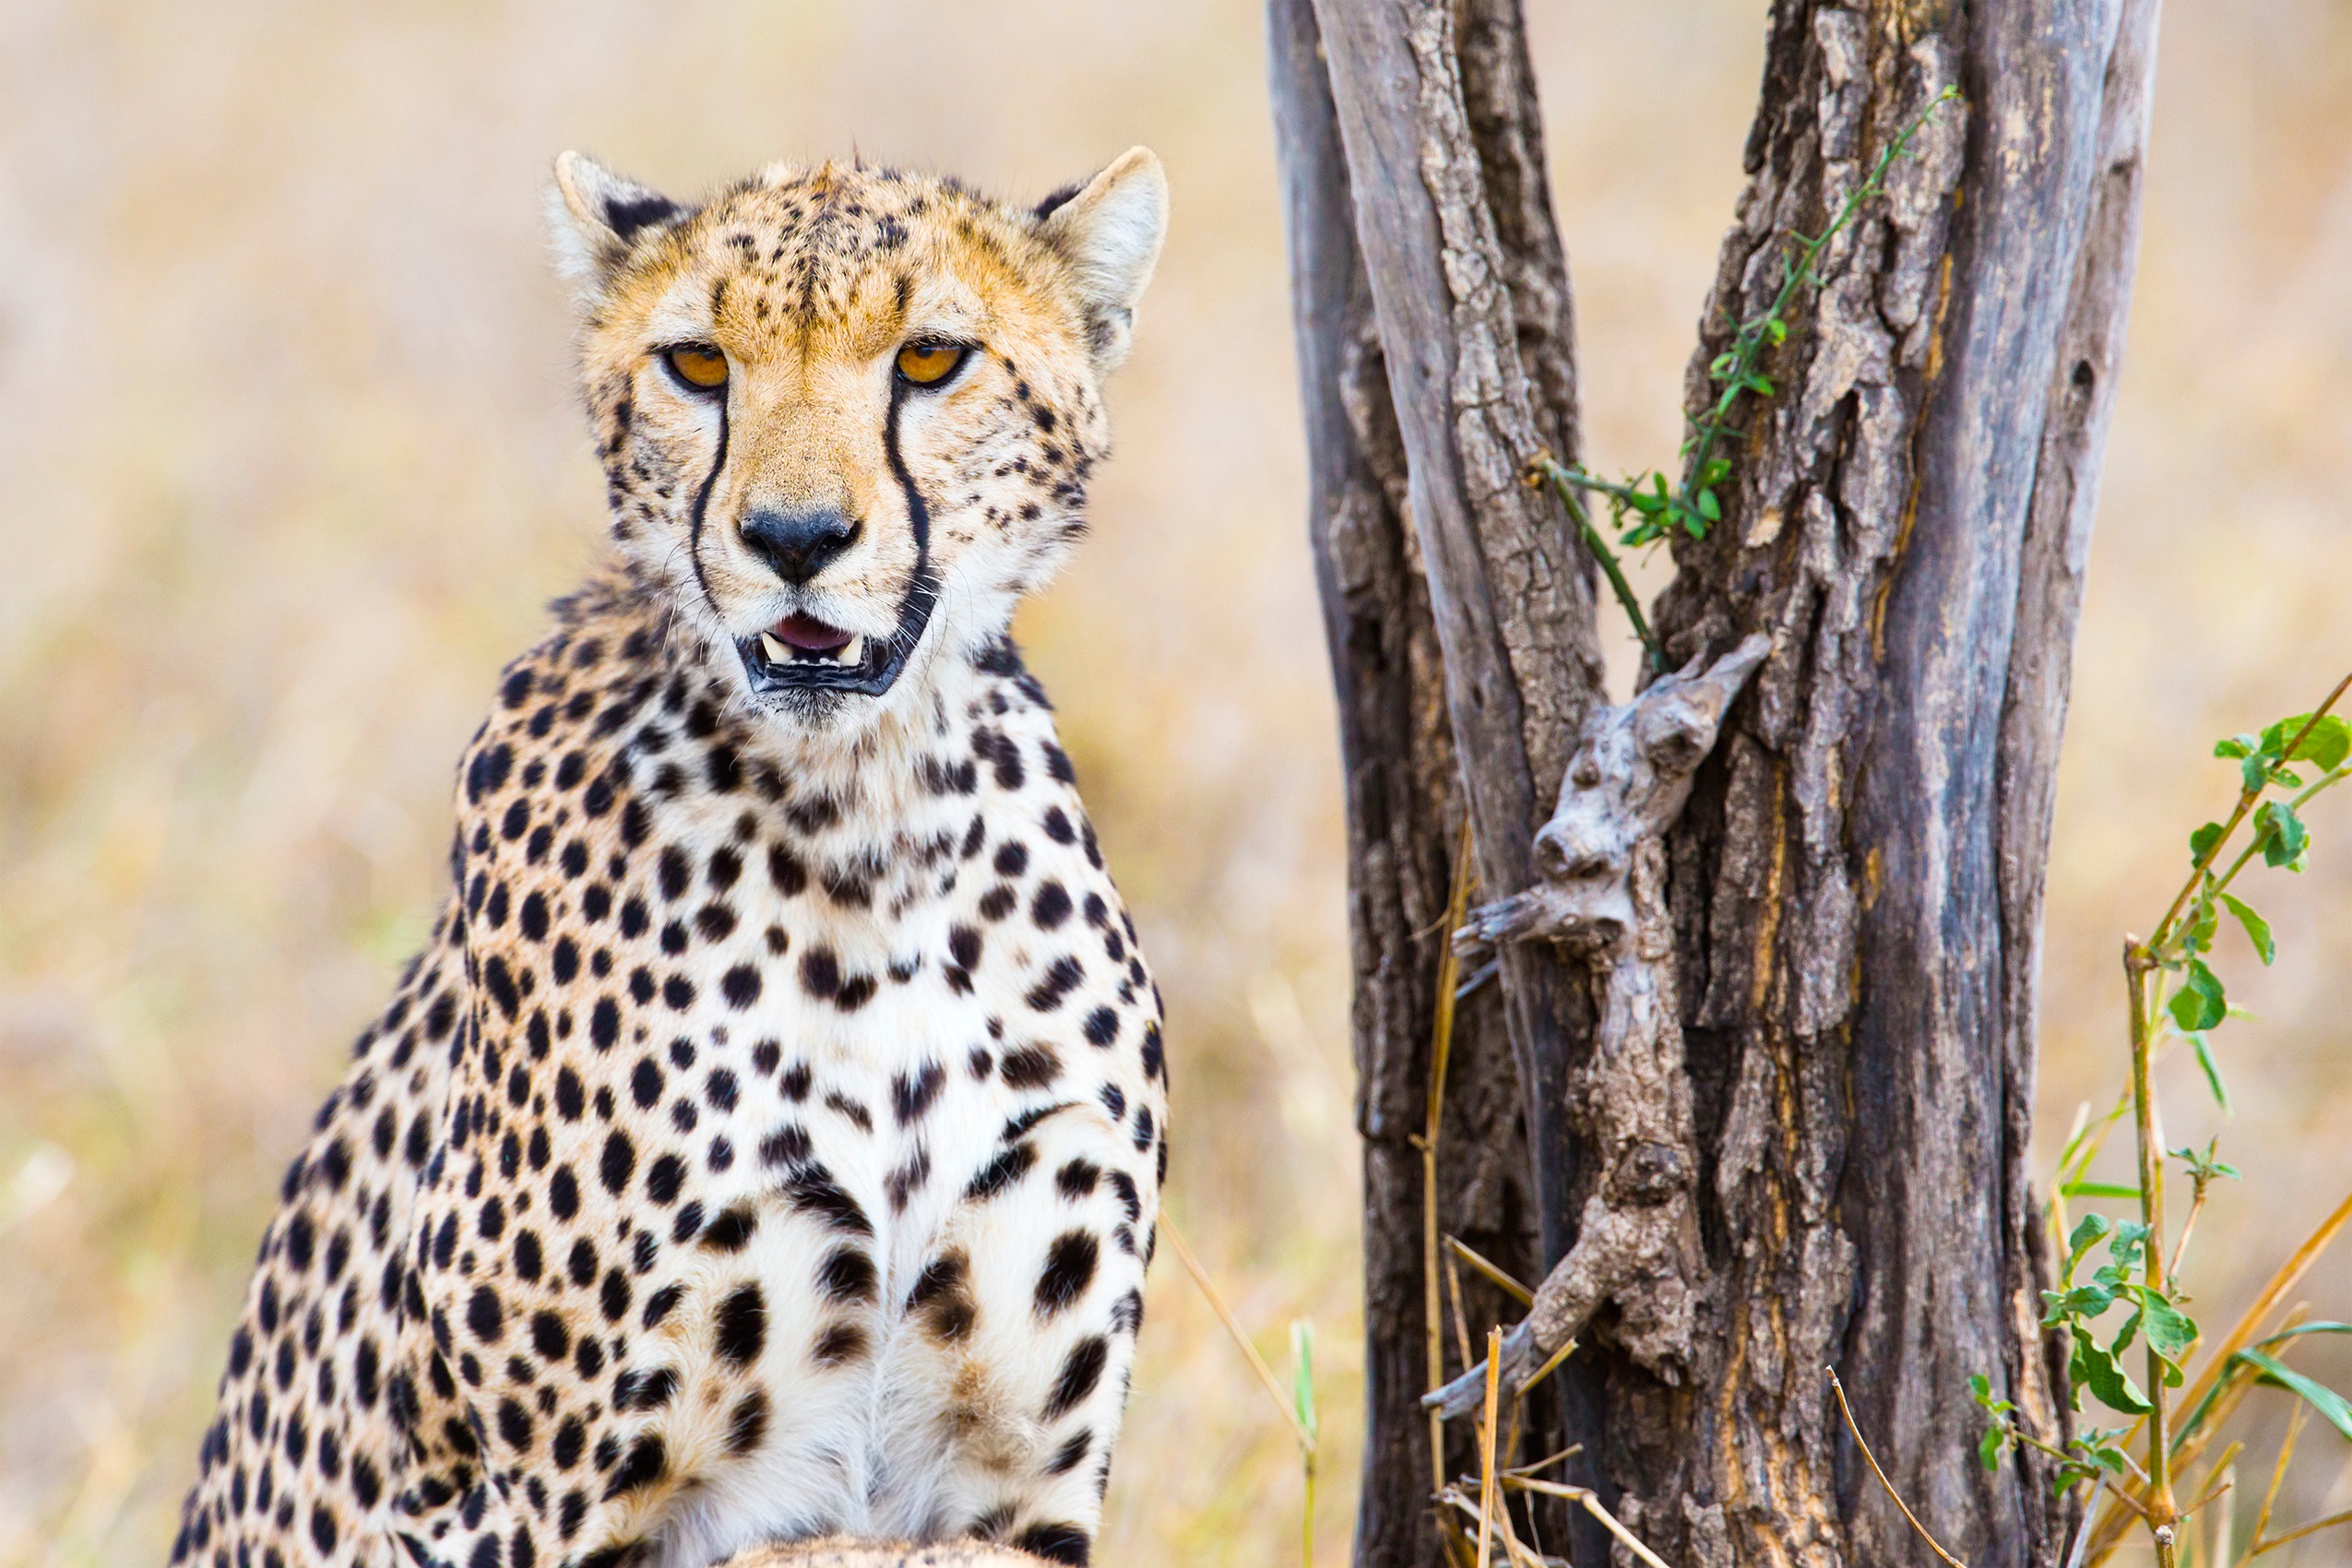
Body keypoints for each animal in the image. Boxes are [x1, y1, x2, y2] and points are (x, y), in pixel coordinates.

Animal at [170, 147, 1176, 1568]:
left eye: (931, 359)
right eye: (698, 365)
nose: (796, 539)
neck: (868, 824)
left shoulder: (1013, 1494)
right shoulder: (525, 1510)